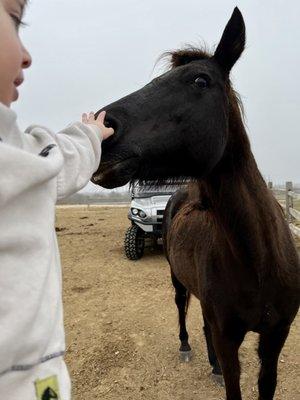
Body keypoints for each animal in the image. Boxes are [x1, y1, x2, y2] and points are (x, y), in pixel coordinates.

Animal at [92, 7, 298, 398]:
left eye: (200, 81)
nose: (102, 129)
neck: (258, 259)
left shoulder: (274, 338)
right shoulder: (229, 338)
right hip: (177, 278)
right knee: (183, 311)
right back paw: (187, 347)